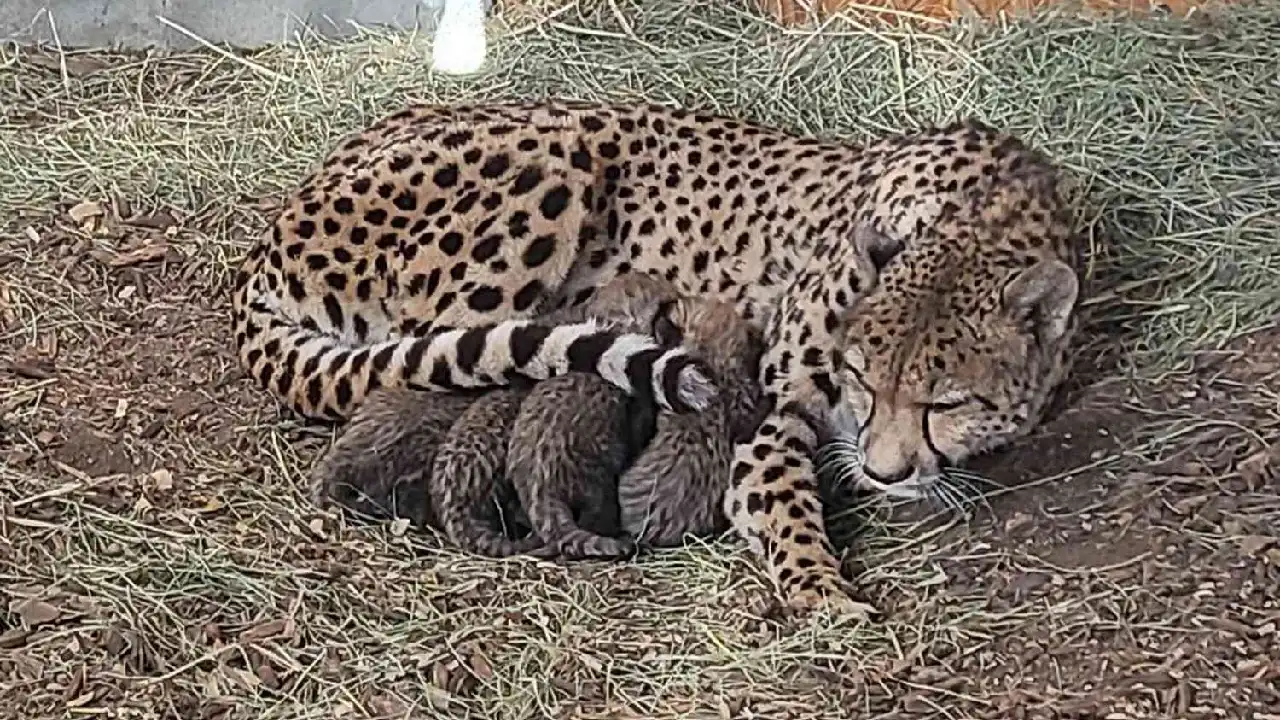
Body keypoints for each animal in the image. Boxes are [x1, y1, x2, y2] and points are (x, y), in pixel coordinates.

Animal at [232, 101, 1080, 614]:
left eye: (948, 401)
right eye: (862, 380)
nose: (884, 471)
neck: (988, 209)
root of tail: (269, 235)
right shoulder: (767, 417)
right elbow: (784, 501)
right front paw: (821, 591)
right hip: (551, 163)